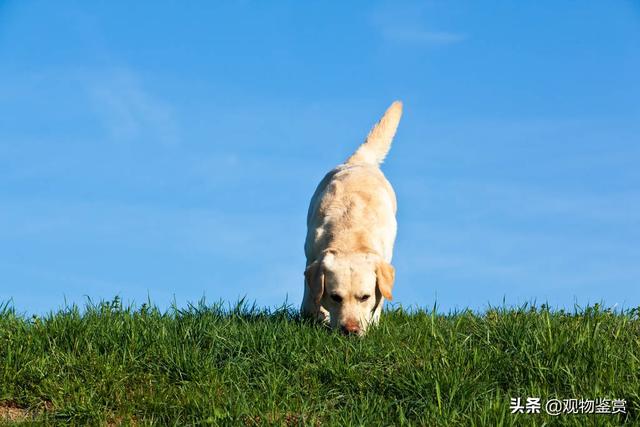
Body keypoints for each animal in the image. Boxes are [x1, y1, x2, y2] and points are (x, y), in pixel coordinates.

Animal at [302, 102, 402, 336]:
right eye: (335, 297)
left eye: (364, 297)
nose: (350, 330)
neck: (350, 235)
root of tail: (360, 161)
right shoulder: (311, 257)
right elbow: (311, 297)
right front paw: (315, 315)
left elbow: (380, 300)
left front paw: (372, 322)